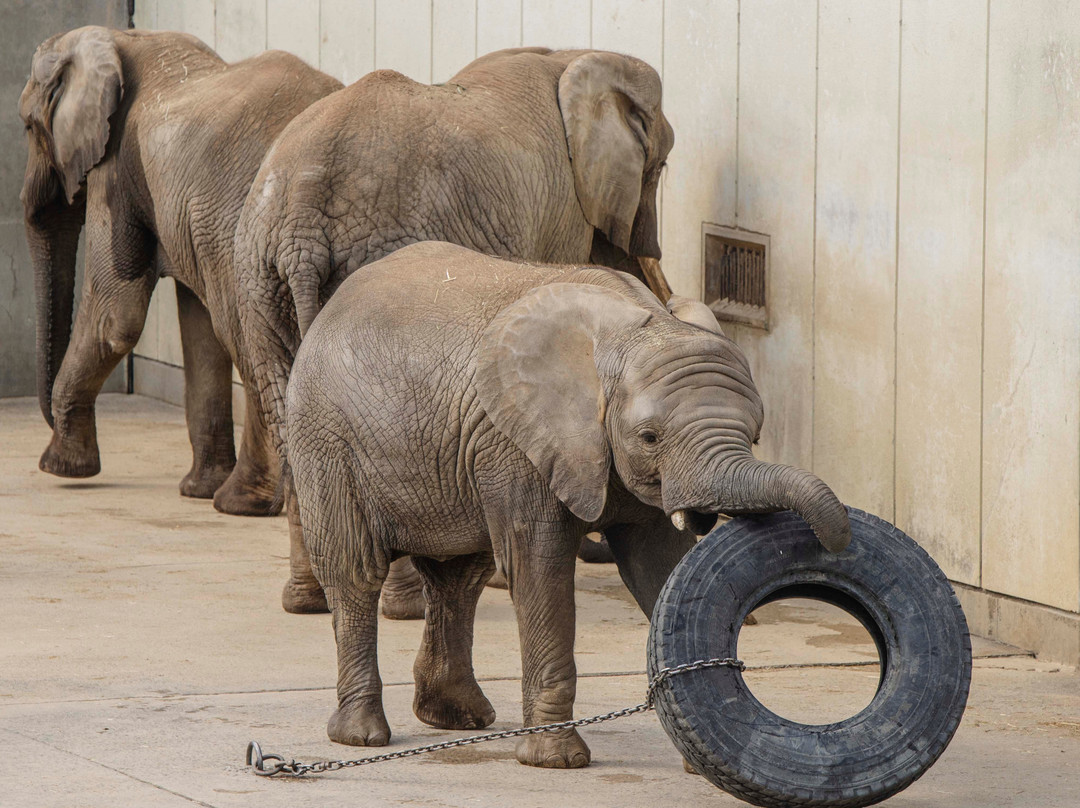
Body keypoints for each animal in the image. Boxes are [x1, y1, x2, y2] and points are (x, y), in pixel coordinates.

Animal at [22, 28, 341, 514]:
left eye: (27, 127)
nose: (47, 424)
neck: (119, 38)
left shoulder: (117, 168)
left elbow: (116, 316)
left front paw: (60, 468)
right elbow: (197, 327)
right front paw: (195, 490)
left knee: (244, 336)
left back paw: (241, 502)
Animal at [236, 47, 673, 613]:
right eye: (659, 167)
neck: (567, 56)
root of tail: (302, 225)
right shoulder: (562, 206)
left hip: (259, 277)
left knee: (287, 416)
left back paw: (308, 601)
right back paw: (407, 606)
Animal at [287, 241, 851, 769]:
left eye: (755, 435)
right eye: (649, 437)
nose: (835, 541)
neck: (633, 328)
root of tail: (334, 305)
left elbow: (658, 568)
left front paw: (697, 759)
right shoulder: (515, 443)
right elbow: (540, 568)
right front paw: (556, 761)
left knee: (459, 577)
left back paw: (459, 719)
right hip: (326, 439)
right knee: (355, 572)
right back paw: (361, 735)